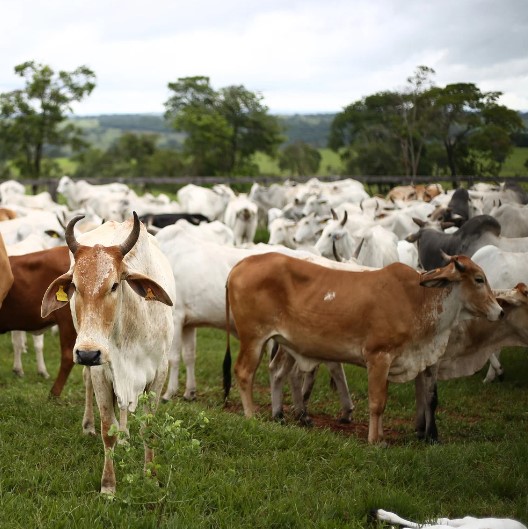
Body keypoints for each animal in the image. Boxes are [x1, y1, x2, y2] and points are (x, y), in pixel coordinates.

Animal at [40, 212, 175, 492]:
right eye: (75, 285)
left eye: (114, 285)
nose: (87, 354)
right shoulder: (101, 370)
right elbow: (107, 429)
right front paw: (108, 486)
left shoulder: (159, 371)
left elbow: (149, 427)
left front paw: (150, 475)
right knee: (89, 386)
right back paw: (89, 426)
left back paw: (125, 436)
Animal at [223, 252, 504, 442]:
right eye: (479, 279)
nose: (500, 311)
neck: (418, 299)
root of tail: (240, 265)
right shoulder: (378, 356)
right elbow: (377, 402)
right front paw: (375, 440)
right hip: (253, 338)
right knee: (244, 373)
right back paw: (251, 416)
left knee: (275, 372)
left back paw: (279, 415)